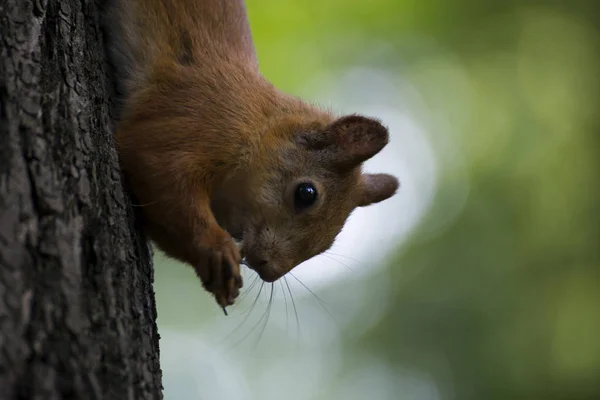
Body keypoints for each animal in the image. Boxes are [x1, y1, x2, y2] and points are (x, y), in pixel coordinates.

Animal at [105, 0, 400, 312]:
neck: (258, 126)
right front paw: (216, 249)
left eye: (329, 242)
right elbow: (158, 171)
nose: (270, 271)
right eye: (306, 193)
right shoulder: (193, 123)